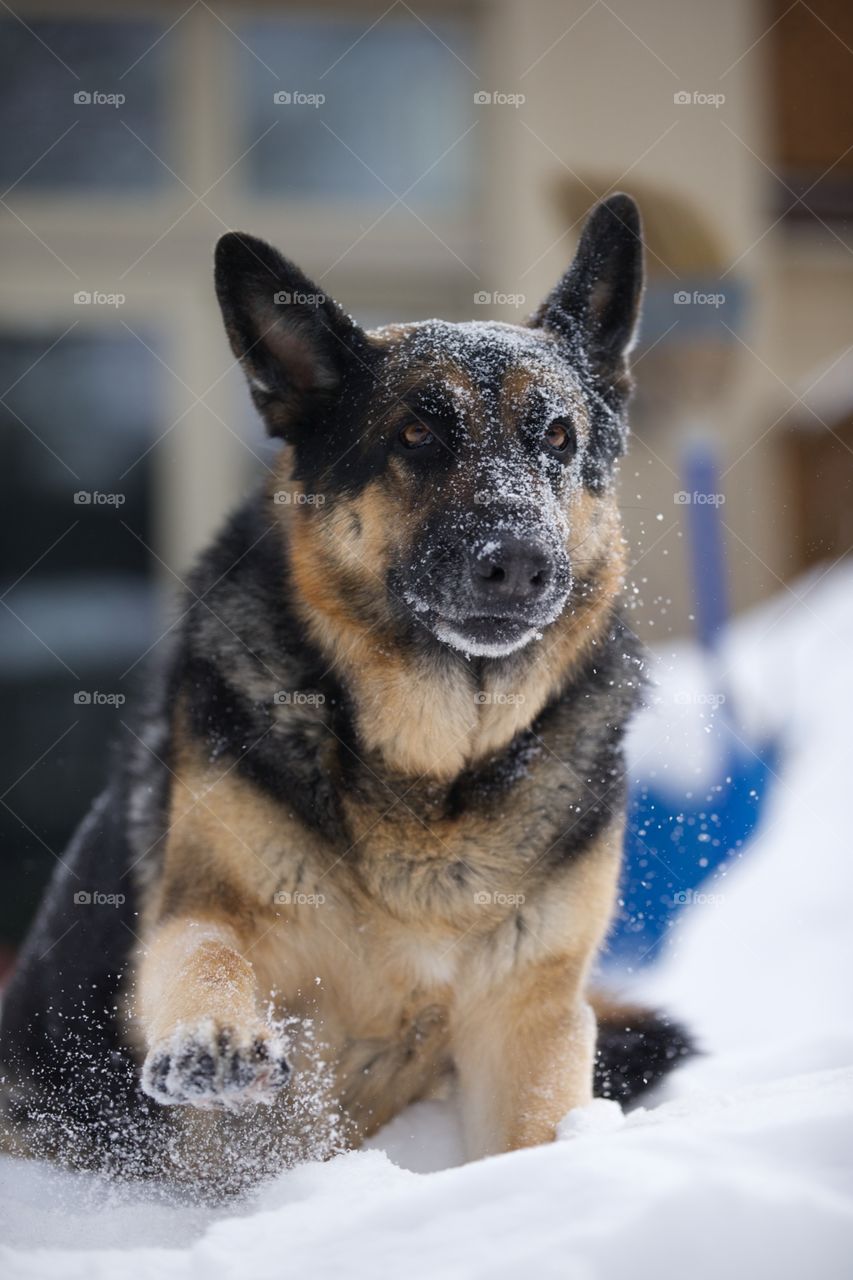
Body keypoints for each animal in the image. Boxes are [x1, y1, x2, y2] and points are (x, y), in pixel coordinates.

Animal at [0, 194, 686, 1192]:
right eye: (416, 435)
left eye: (558, 436)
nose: (521, 563)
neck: (435, 768)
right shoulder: (208, 907)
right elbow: (204, 950)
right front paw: (215, 1036)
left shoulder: (531, 1014)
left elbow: (529, 1135)